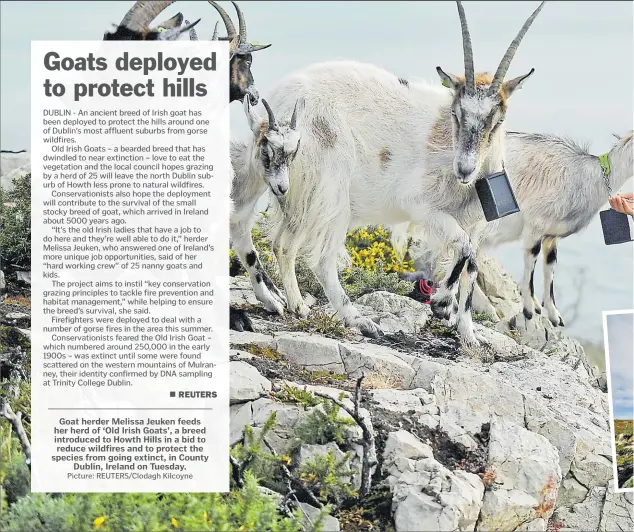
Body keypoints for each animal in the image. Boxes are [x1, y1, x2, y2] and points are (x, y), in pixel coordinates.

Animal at [260, 0, 544, 348]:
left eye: (497, 118)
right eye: (457, 113)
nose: (464, 169)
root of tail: (281, 99)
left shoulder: (473, 222)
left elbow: (472, 265)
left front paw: (467, 334)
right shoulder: (424, 209)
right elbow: (463, 250)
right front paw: (441, 304)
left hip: (296, 194)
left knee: (283, 245)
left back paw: (297, 305)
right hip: (330, 190)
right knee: (322, 260)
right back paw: (360, 321)